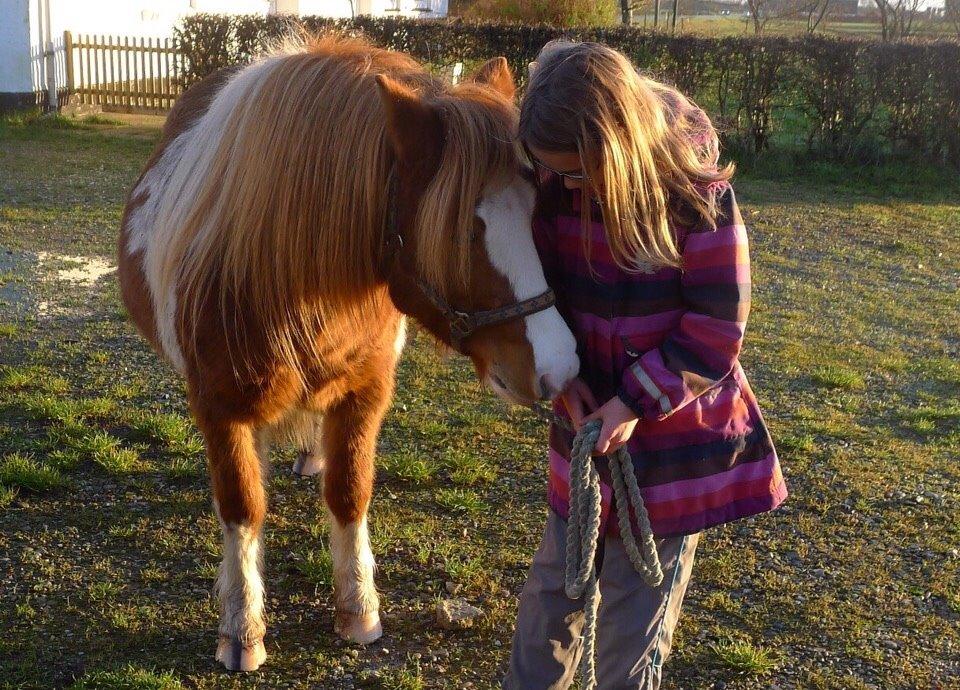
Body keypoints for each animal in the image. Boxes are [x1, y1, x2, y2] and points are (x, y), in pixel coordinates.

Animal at [112, 35, 576, 668]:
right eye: (461, 233)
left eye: (538, 212)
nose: (560, 365)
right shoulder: (220, 408)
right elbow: (242, 506)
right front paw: (242, 628)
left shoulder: (364, 394)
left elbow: (350, 493)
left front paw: (359, 608)